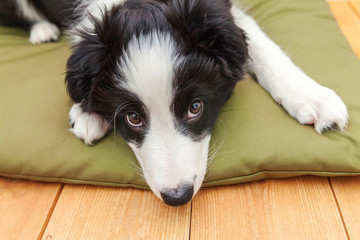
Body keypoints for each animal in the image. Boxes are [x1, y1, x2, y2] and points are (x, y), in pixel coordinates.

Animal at [0, 0, 348, 206]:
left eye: (195, 107)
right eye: (133, 118)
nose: (177, 197)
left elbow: (258, 45)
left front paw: (311, 96)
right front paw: (87, 112)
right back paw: (42, 30)